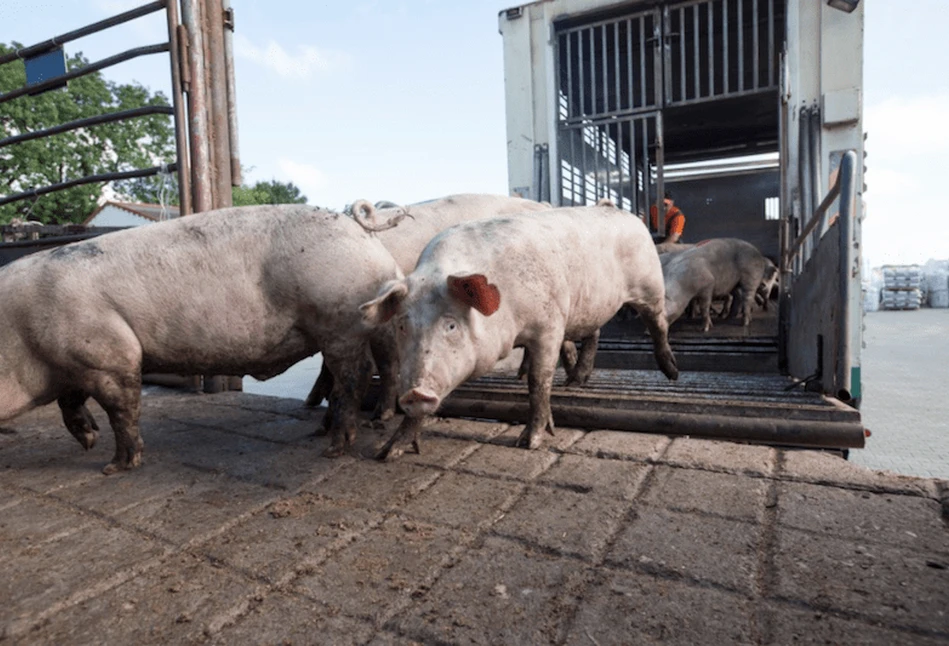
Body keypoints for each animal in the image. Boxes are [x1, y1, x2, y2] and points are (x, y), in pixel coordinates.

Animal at [0, 205, 400, 474]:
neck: (19, 332)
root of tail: (364, 235)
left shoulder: (110, 355)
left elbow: (121, 411)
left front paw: (114, 467)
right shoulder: (76, 365)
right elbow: (70, 402)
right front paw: (89, 440)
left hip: (338, 321)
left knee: (356, 374)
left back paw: (334, 448)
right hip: (355, 325)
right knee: (365, 369)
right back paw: (335, 428)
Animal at [360, 202, 676, 460]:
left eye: (451, 324)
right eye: (402, 325)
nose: (415, 392)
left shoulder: (549, 325)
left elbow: (539, 381)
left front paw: (529, 442)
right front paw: (387, 452)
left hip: (650, 283)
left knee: (658, 322)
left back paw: (671, 372)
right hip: (591, 304)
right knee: (594, 333)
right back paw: (574, 382)